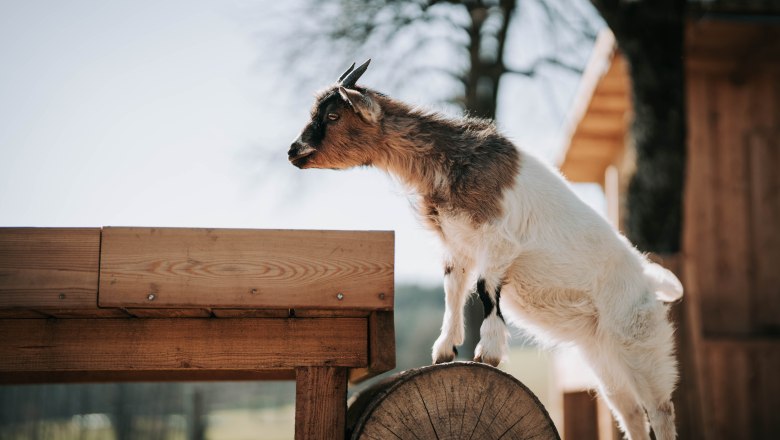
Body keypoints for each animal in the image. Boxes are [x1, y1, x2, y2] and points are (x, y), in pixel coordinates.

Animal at [288, 60, 683, 440]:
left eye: (333, 116)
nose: (293, 151)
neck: (450, 162)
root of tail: (649, 281)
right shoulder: (457, 245)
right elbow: (453, 291)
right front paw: (445, 352)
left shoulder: (498, 242)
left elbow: (484, 290)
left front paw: (487, 354)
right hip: (601, 355)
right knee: (631, 413)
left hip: (640, 344)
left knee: (660, 409)